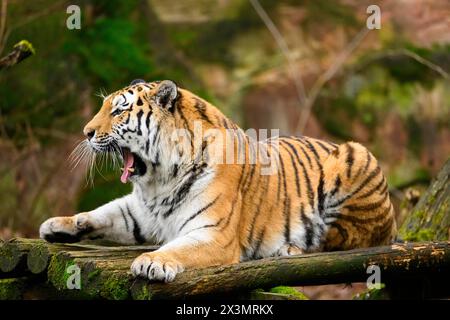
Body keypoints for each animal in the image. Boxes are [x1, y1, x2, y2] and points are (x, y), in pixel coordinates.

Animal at [39, 79, 398, 282]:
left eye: (118, 112)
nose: (86, 132)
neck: (158, 180)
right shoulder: (140, 213)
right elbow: (104, 213)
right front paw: (59, 224)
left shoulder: (212, 234)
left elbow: (178, 248)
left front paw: (152, 262)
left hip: (355, 155)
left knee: (346, 238)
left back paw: (291, 249)